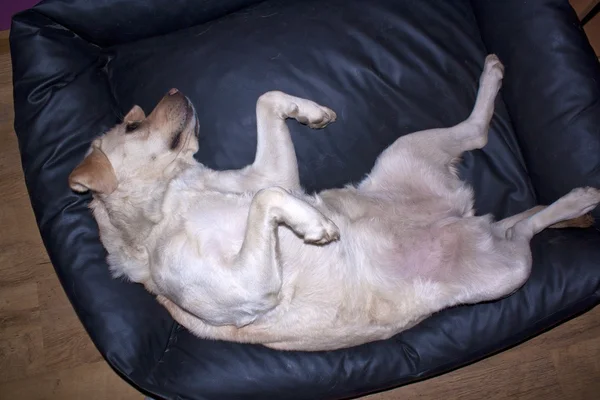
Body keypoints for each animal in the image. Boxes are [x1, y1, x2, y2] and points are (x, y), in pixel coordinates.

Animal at [68, 55, 596, 350]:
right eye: (132, 125)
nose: (176, 88)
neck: (176, 195)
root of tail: (462, 215)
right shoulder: (246, 289)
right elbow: (269, 199)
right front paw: (314, 224)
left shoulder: (270, 173)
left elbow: (267, 104)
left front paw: (309, 111)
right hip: (507, 270)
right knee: (519, 223)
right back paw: (578, 199)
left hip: (411, 153)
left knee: (481, 141)